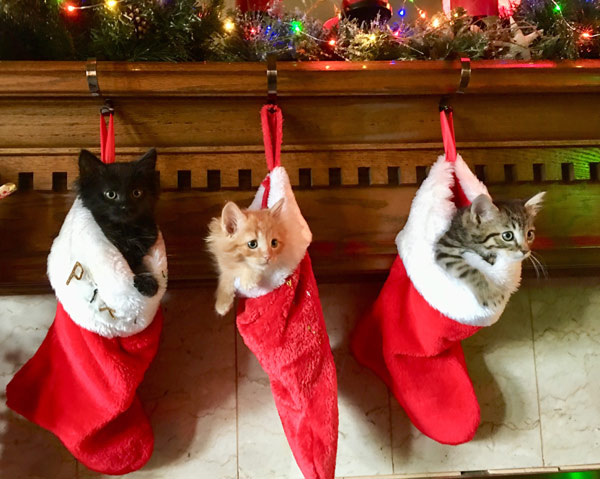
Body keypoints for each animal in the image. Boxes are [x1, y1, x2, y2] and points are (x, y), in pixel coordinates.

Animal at [78, 150, 161, 296]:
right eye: (110, 194)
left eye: (136, 193)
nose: (125, 207)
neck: (125, 229)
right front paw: (146, 282)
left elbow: (140, 265)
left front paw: (148, 282)